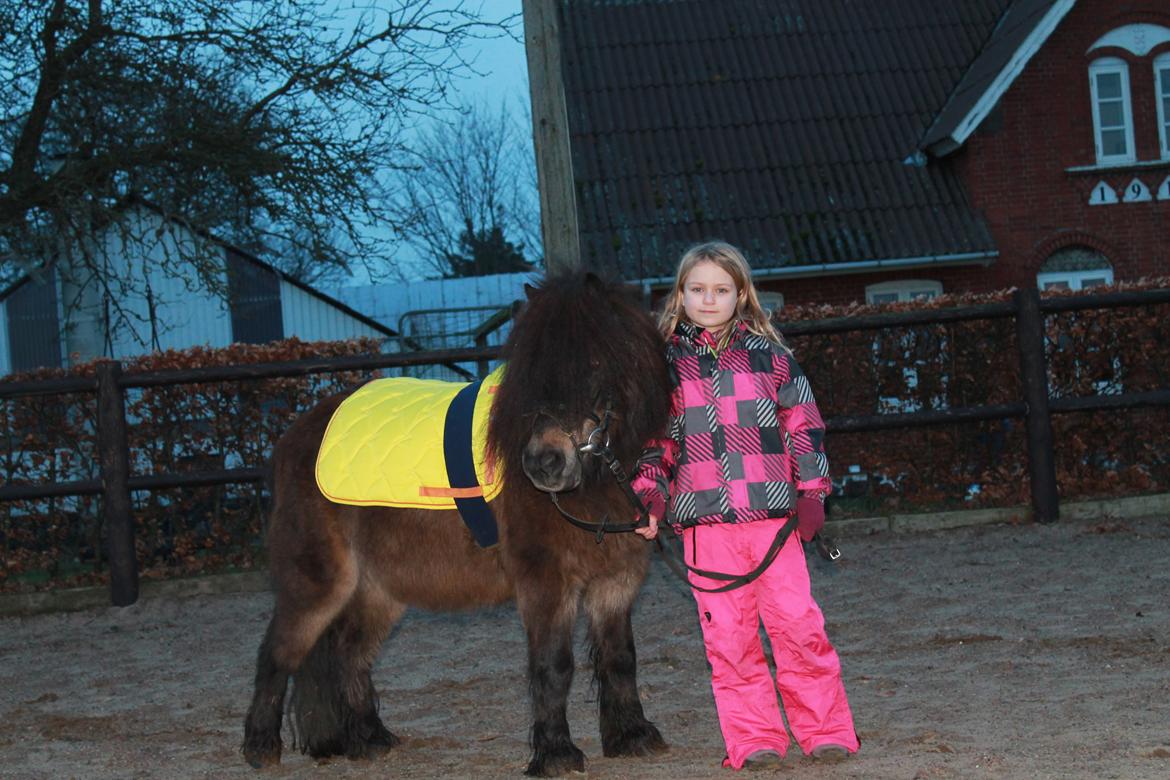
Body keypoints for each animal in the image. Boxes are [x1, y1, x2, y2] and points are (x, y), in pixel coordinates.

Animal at [242, 271, 673, 776]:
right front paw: (555, 754)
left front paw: (632, 736)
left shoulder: (617, 580)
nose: (544, 464)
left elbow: (620, 658)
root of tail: (293, 438)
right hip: (317, 585)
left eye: (596, 363)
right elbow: (554, 665)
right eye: (528, 372)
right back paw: (260, 746)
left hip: (379, 589)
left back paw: (369, 739)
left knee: (349, 653)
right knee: (278, 653)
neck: (594, 486)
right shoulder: (545, 583)